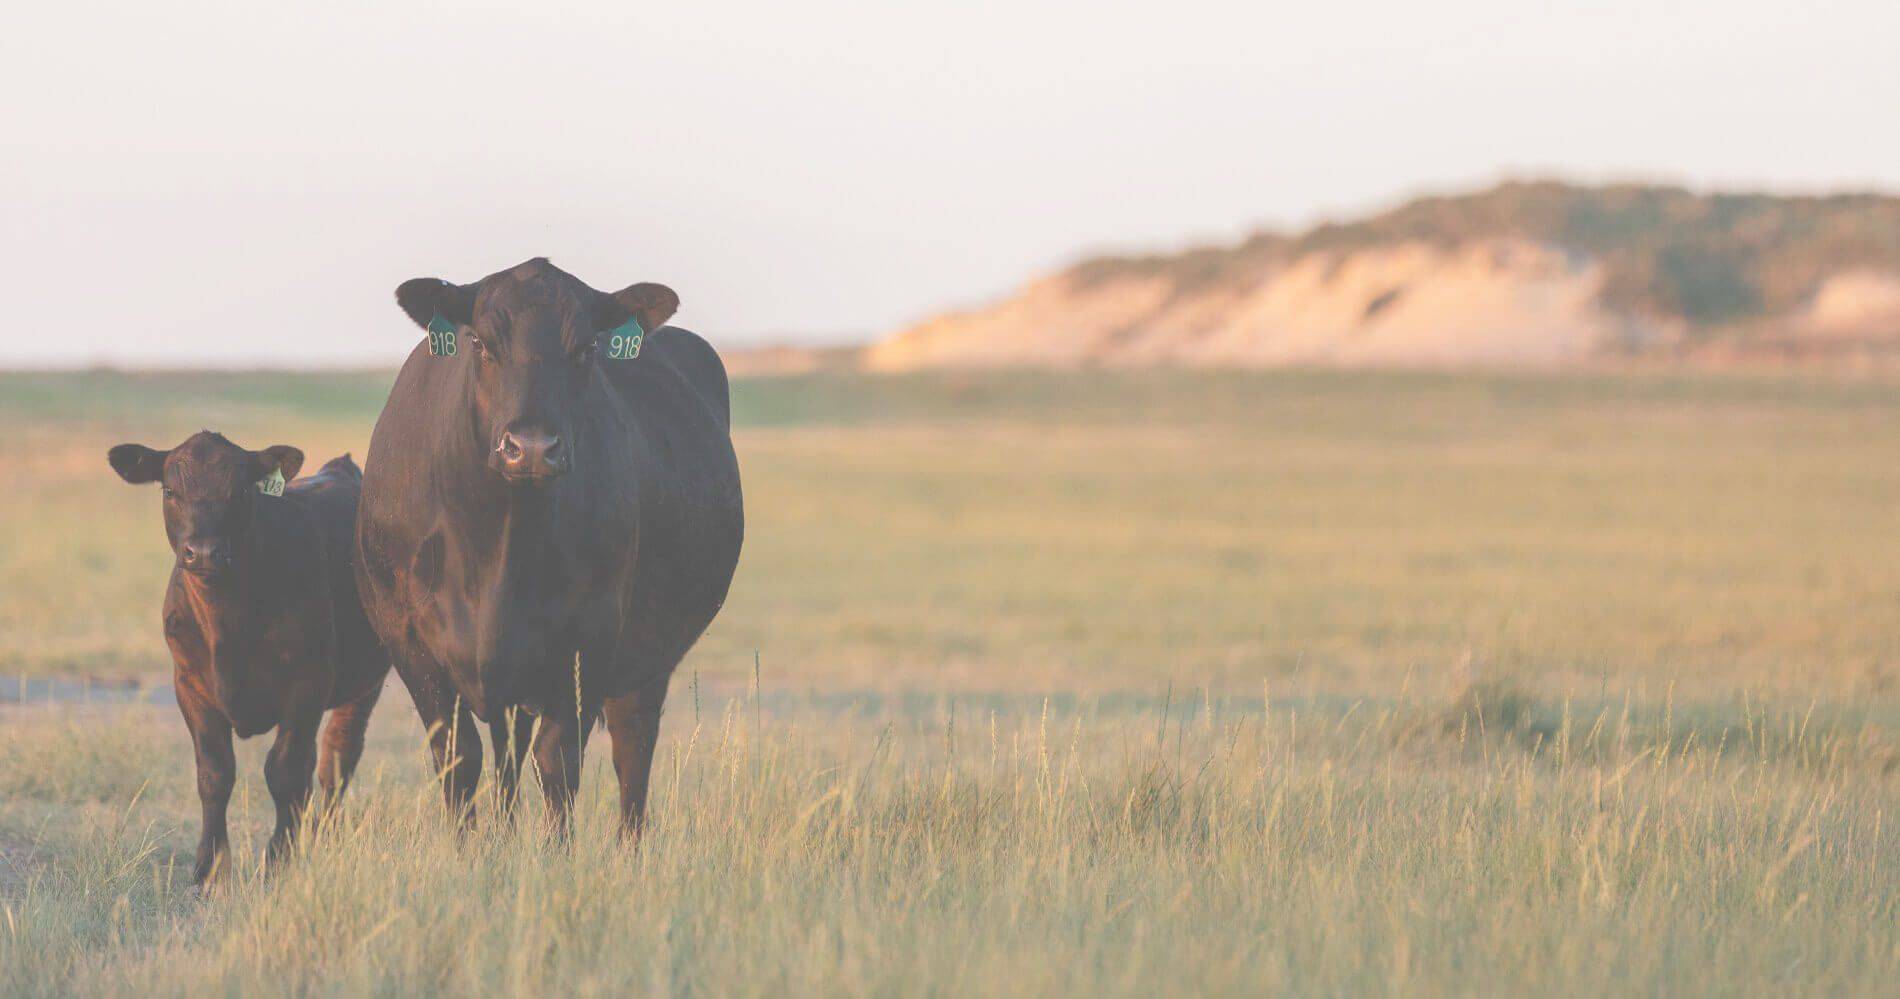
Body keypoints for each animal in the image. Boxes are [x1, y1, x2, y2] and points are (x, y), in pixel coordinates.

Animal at [108, 433, 388, 883]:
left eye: (240, 492)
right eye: (169, 491)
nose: (204, 552)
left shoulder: (307, 684)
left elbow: (285, 772)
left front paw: (279, 860)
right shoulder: (189, 684)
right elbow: (214, 773)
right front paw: (208, 871)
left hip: (366, 681)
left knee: (337, 757)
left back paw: (323, 835)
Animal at [355, 258, 743, 835]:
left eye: (585, 349)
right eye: (480, 343)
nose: (532, 448)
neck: (499, 544)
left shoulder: (592, 636)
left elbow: (557, 764)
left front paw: (554, 850)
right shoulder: (406, 638)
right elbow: (459, 759)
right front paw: (473, 849)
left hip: (647, 658)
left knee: (632, 751)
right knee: (508, 753)